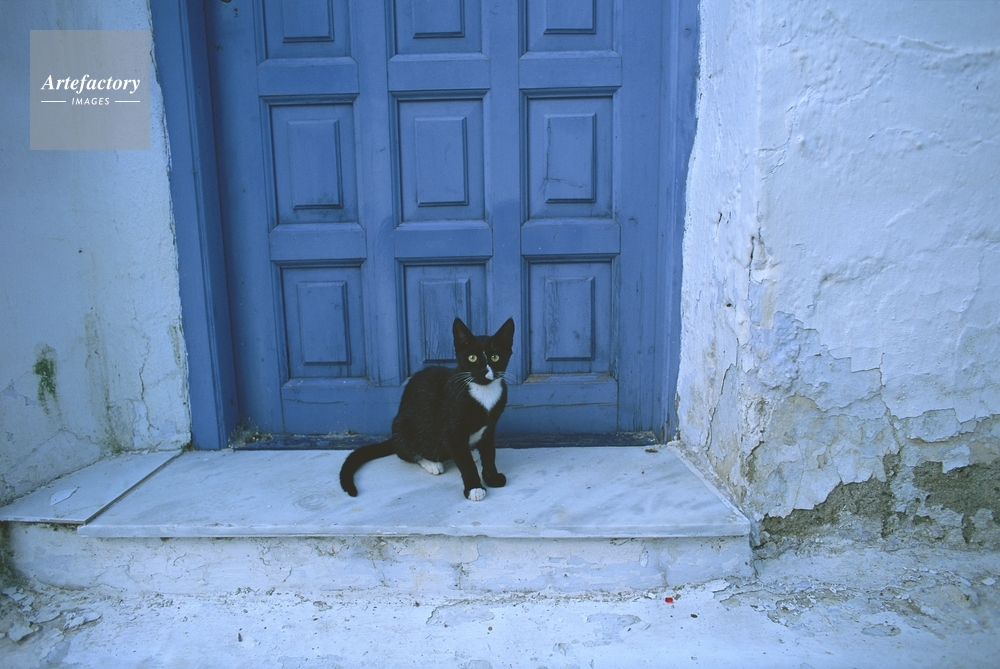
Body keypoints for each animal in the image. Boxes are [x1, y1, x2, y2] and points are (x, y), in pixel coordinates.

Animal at [339, 317, 515, 501]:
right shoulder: (452, 431)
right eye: (472, 358)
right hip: (402, 424)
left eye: (495, 357)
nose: (483, 371)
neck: (483, 391)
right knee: (404, 452)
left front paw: (492, 477)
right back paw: (432, 463)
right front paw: (474, 487)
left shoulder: (489, 427)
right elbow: (465, 463)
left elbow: (489, 454)